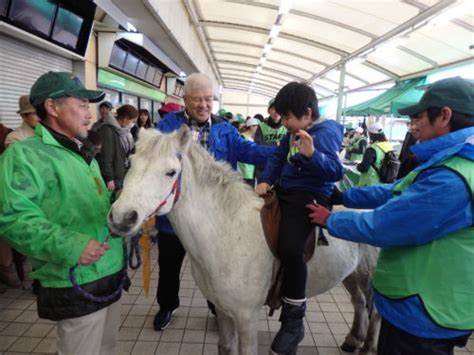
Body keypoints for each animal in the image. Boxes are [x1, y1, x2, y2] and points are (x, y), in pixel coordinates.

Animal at [108, 128, 382, 355]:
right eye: (130, 163)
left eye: (171, 172)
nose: (122, 217)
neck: (227, 233)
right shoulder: (222, 310)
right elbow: (226, 347)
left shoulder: (247, 317)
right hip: (351, 274)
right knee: (359, 303)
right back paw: (353, 339)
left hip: (370, 277)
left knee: (376, 311)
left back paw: (368, 346)